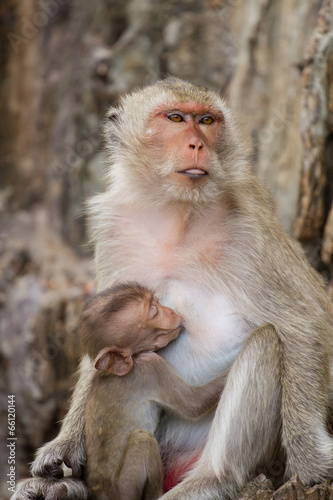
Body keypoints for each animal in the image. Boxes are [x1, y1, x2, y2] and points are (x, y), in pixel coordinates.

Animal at [82, 284, 228, 500]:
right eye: (154, 311)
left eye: (157, 302)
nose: (171, 311)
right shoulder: (152, 368)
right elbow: (194, 404)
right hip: (126, 487)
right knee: (143, 440)